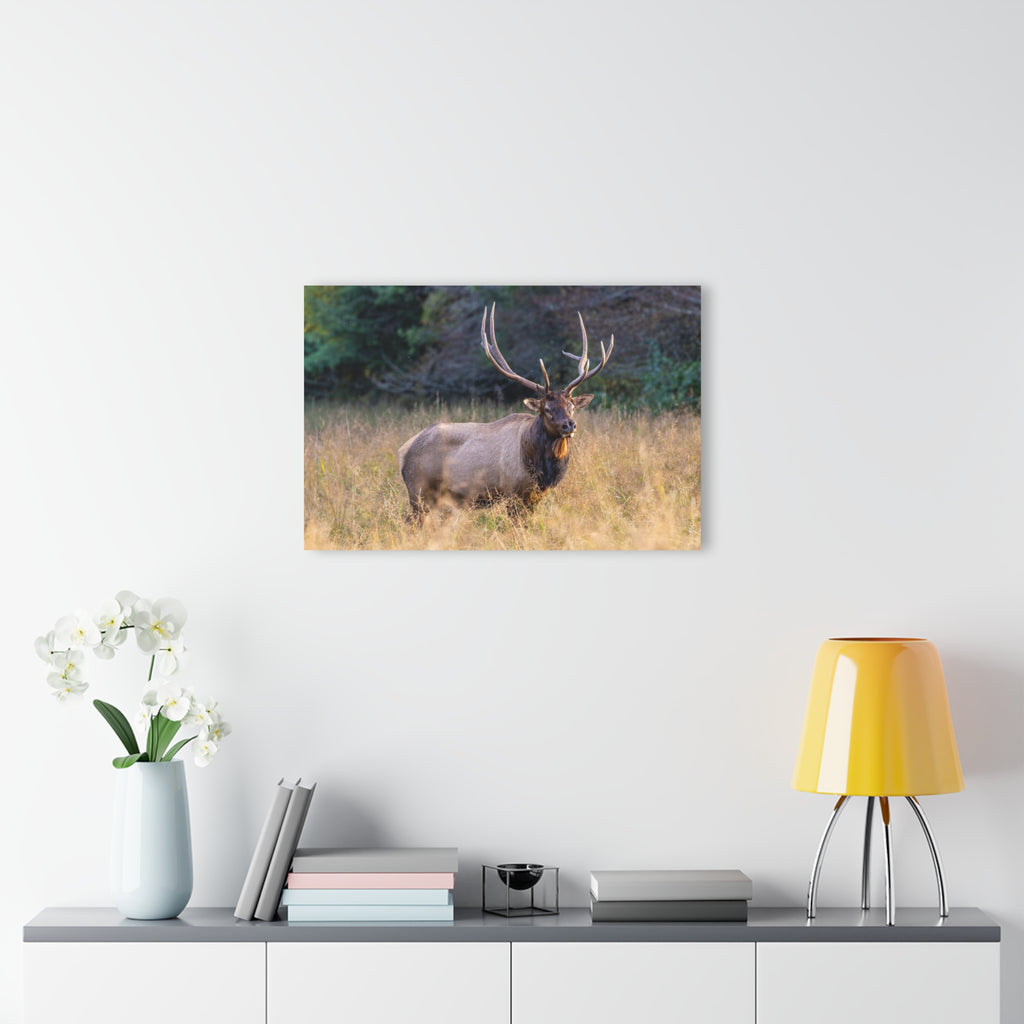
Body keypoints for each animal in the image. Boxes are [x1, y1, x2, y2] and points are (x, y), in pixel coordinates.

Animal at [398, 304, 614, 519]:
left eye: (571, 407)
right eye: (547, 409)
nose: (569, 425)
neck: (540, 467)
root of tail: (403, 450)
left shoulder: (535, 497)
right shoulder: (512, 493)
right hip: (419, 491)